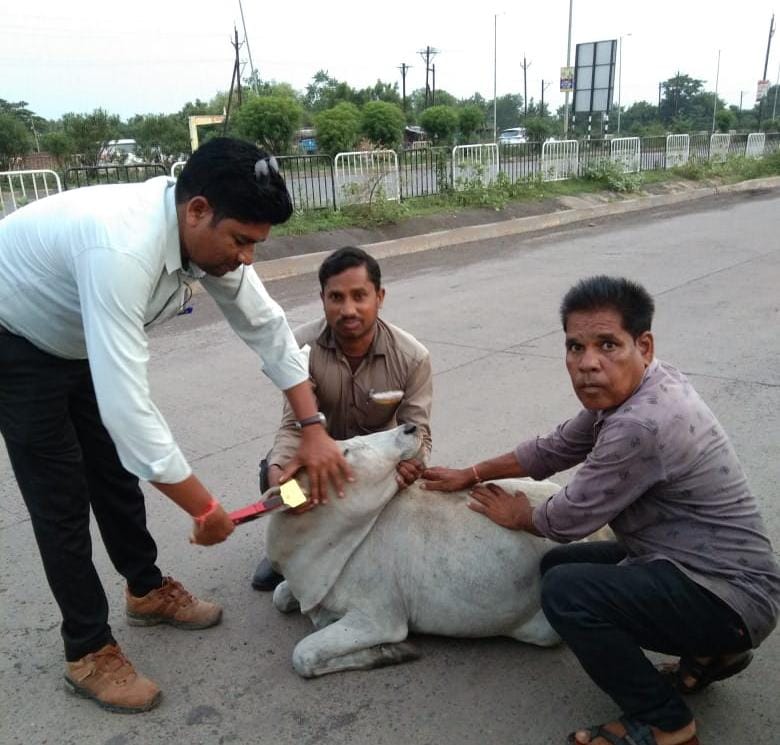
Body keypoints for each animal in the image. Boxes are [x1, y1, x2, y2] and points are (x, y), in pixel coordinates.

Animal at [266, 422, 564, 676]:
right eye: (346, 451)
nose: (409, 427)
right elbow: (279, 596)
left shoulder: (379, 619)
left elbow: (302, 655)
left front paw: (391, 652)